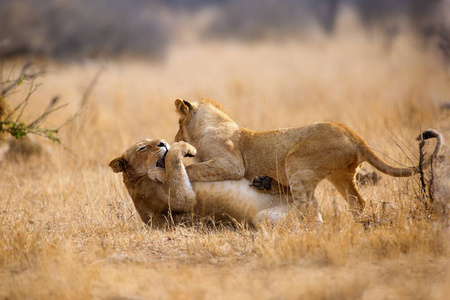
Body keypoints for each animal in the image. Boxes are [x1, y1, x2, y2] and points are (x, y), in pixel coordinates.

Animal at [109, 139, 292, 226]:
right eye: (142, 148)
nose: (163, 142)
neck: (137, 180)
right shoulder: (178, 200)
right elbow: (173, 160)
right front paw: (183, 146)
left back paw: (265, 182)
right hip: (263, 217)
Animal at [166, 99, 442, 220]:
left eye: (178, 123)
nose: (174, 136)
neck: (208, 126)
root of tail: (354, 136)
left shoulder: (232, 164)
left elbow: (193, 170)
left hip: (296, 162)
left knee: (306, 208)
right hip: (340, 176)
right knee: (357, 203)